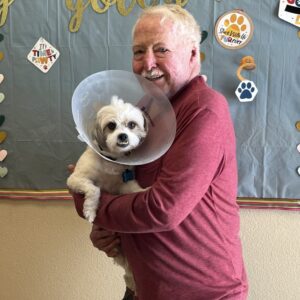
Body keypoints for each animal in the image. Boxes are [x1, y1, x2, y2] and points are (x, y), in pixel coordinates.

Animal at [67, 95, 148, 292]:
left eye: (132, 125)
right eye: (111, 125)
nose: (123, 136)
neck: (111, 161)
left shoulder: (124, 186)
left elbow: (135, 190)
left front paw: (147, 190)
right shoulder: (76, 178)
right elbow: (95, 189)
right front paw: (89, 210)